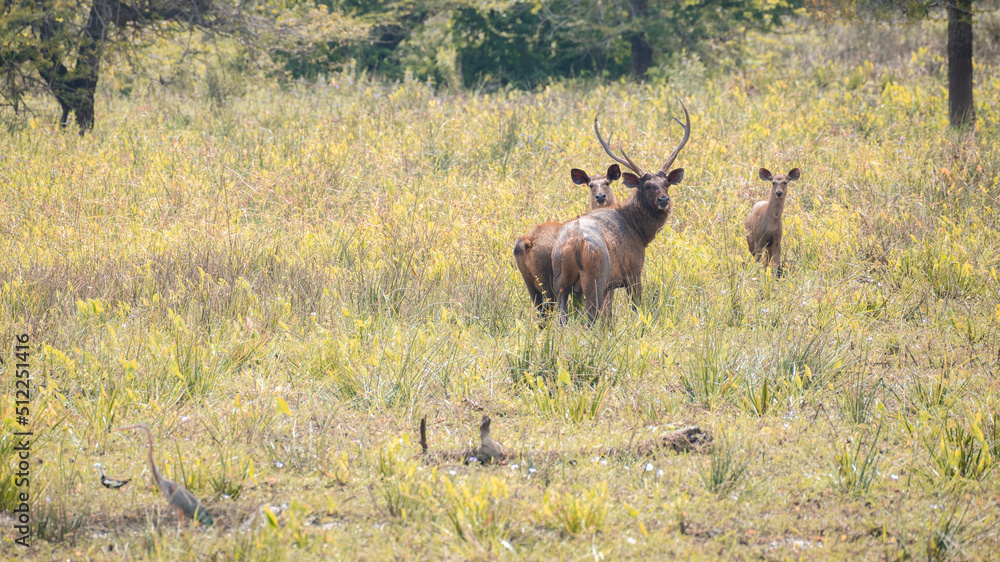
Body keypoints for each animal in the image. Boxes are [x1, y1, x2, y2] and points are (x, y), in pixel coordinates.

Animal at [513, 164, 621, 317]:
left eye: (607, 182)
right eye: (590, 185)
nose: (600, 196)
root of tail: (526, 241)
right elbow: (607, 307)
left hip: (529, 282)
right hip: (547, 280)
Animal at [551, 99, 691, 324]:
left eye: (666, 183)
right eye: (646, 186)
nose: (664, 200)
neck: (640, 233)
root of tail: (573, 244)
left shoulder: (610, 285)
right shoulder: (633, 270)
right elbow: (638, 308)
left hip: (560, 280)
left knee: (563, 318)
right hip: (595, 276)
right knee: (591, 317)